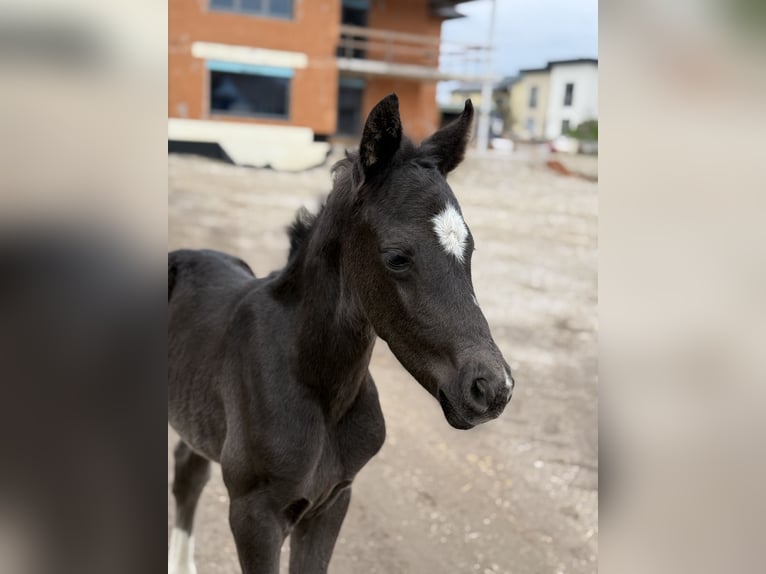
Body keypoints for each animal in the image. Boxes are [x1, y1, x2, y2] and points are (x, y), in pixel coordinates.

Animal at [168, 93, 515, 574]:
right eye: (397, 257)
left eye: (470, 249)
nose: (493, 388)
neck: (318, 388)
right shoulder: (253, 516)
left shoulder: (333, 501)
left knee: (188, 475)